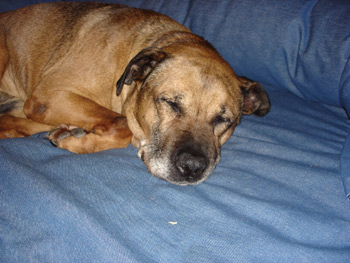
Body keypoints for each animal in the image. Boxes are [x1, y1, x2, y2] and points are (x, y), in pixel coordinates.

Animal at [0, 3, 270, 187]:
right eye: (170, 103)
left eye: (224, 120)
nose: (192, 167)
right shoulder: (48, 96)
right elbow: (122, 125)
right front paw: (77, 140)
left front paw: (72, 134)